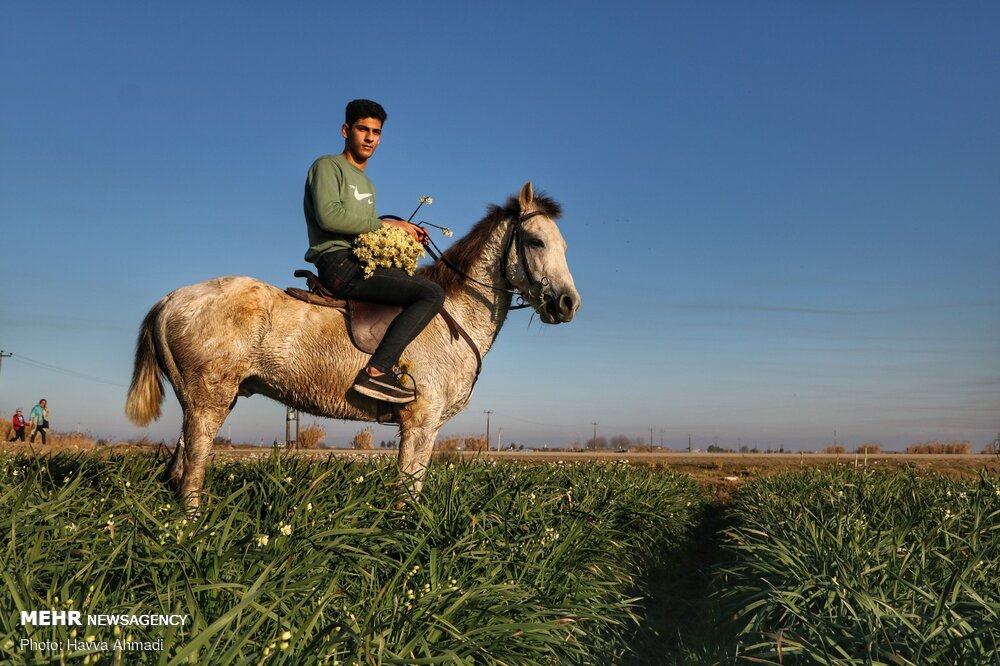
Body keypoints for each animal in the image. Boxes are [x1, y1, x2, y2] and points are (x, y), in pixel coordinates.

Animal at [127, 182, 580, 504]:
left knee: (178, 468)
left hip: (201, 401)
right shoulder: (420, 422)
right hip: (209, 402)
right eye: (536, 241)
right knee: (193, 472)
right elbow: (406, 491)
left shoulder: (428, 427)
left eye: (564, 246)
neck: (455, 314)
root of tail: (171, 299)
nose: (568, 303)